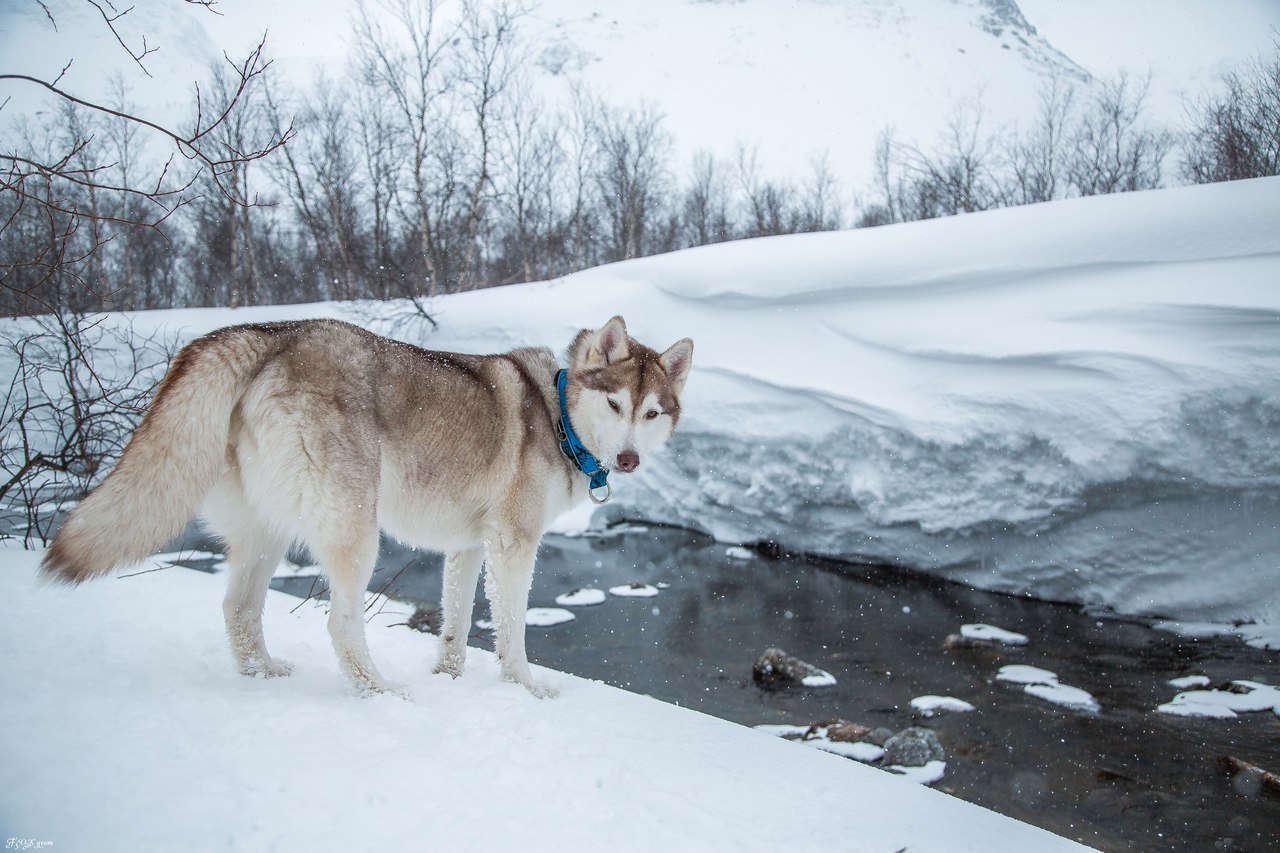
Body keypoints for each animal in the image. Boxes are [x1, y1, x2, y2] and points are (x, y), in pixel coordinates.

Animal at [40, 315, 696, 696]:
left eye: (652, 413)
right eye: (615, 405)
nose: (629, 459)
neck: (558, 418)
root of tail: (271, 333)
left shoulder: (467, 548)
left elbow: (457, 626)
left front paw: (449, 680)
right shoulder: (512, 547)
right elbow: (511, 635)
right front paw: (526, 690)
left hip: (266, 532)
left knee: (238, 609)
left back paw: (263, 678)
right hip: (355, 532)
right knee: (340, 623)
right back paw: (380, 691)